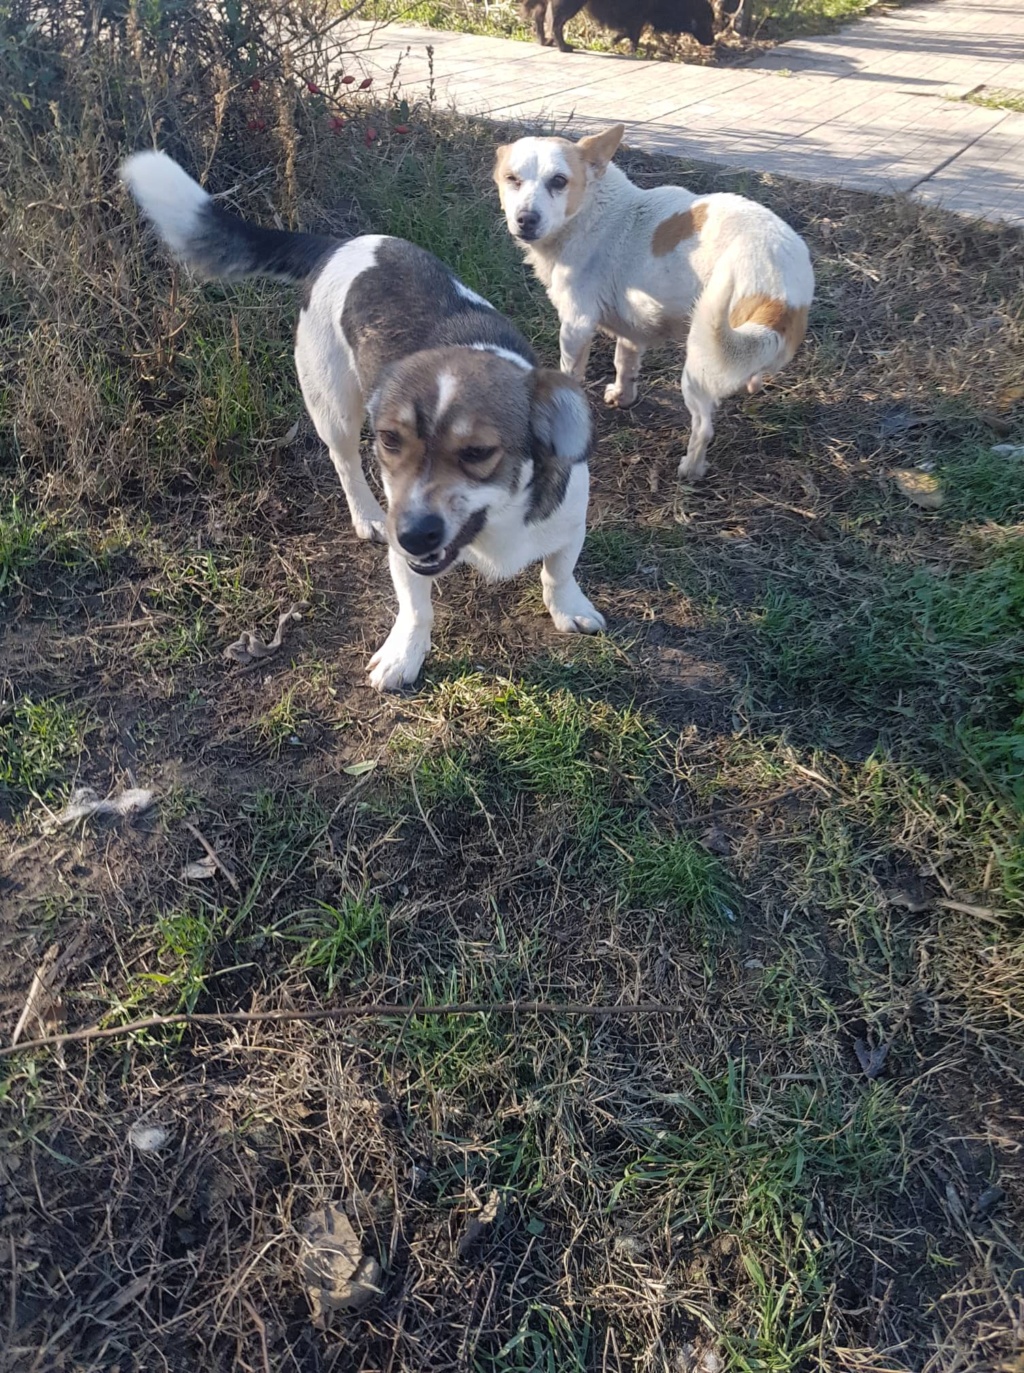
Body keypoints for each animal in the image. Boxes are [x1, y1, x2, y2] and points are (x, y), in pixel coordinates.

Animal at [119, 148, 601, 691]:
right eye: (391, 440)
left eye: (478, 452)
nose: (410, 533)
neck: (493, 525)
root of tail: (337, 246)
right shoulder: (406, 549)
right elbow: (416, 609)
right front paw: (404, 654)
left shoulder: (570, 518)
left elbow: (558, 570)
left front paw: (568, 607)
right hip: (333, 408)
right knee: (345, 462)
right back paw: (366, 513)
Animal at [494, 120, 812, 483]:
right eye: (512, 179)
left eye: (559, 181)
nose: (526, 219)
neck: (593, 209)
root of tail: (780, 281)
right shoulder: (631, 332)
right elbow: (625, 365)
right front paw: (623, 396)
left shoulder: (576, 326)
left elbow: (570, 373)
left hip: (698, 363)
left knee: (704, 428)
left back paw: (690, 469)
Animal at [521, 0, 713, 52]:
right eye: (705, 21)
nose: (711, 41)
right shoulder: (638, 14)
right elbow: (633, 33)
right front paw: (631, 50)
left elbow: (629, 32)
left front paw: (614, 41)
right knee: (555, 22)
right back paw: (563, 46)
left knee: (539, 16)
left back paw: (544, 41)